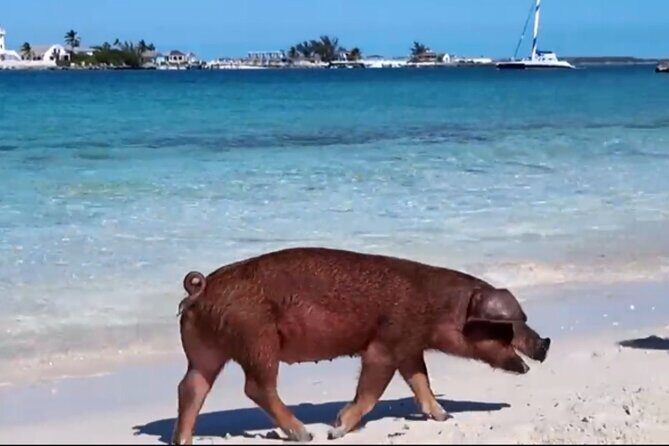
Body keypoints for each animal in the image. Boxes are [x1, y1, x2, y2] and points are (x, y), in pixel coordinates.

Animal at [172, 247, 550, 444]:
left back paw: (183, 440)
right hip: (258, 340)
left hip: (204, 352)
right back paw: (305, 434)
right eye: (507, 326)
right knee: (256, 387)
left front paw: (444, 415)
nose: (545, 343)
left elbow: (421, 381)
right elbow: (372, 390)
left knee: (190, 386)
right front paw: (336, 429)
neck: (439, 308)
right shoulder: (385, 344)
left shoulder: (409, 349)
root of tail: (201, 288)